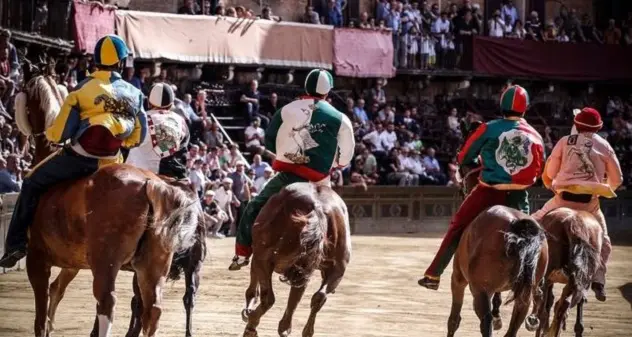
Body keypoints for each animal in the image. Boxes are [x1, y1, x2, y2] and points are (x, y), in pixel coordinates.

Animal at [14, 60, 207, 336]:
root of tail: (150, 184)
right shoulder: (72, 263)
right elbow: (57, 290)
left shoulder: (37, 259)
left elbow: (41, 315)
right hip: (158, 265)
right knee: (160, 306)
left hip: (107, 263)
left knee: (109, 302)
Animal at [241, 182, 350, 334]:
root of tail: (318, 207)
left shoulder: (260, 258)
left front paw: (249, 310)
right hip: (336, 267)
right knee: (319, 297)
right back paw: (302, 330)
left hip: (264, 258)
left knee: (268, 298)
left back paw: (251, 326)